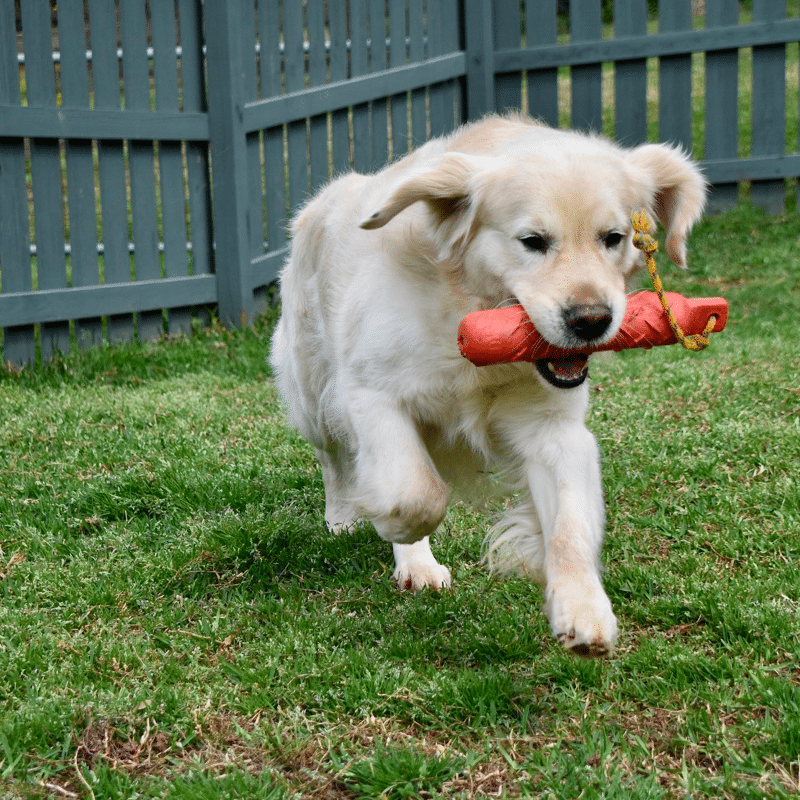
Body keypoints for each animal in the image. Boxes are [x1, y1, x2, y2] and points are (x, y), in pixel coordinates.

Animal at [270, 115, 708, 660]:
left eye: (614, 237)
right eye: (532, 240)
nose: (591, 320)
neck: (465, 311)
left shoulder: (555, 429)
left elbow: (570, 528)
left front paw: (582, 610)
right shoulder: (371, 394)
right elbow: (417, 494)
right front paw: (396, 527)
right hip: (312, 390)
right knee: (333, 459)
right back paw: (364, 529)